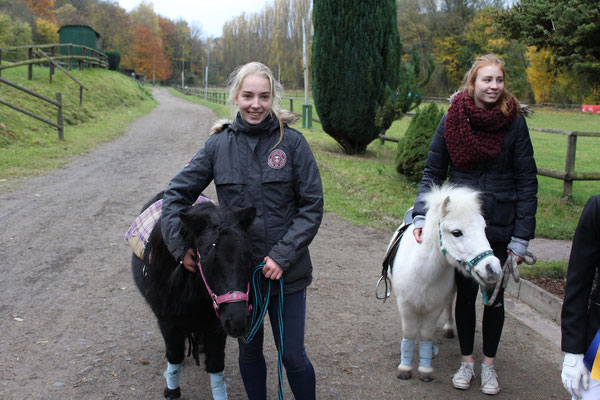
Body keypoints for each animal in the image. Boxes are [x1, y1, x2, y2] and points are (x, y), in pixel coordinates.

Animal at [131, 192, 255, 398]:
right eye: (204, 260)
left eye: (248, 257)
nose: (237, 321)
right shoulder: (167, 322)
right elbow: (174, 355)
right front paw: (172, 390)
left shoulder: (216, 326)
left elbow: (215, 364)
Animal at [386, 184, 500, 382]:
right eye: (456, 232)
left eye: (484, 228)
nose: (492, 268)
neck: (422, 271)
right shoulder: (406, 305)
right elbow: (410, 333)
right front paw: (405, 368)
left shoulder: (434, 307)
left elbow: (426, 333)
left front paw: (425, 369)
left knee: (449, 303)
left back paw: (448, 328)